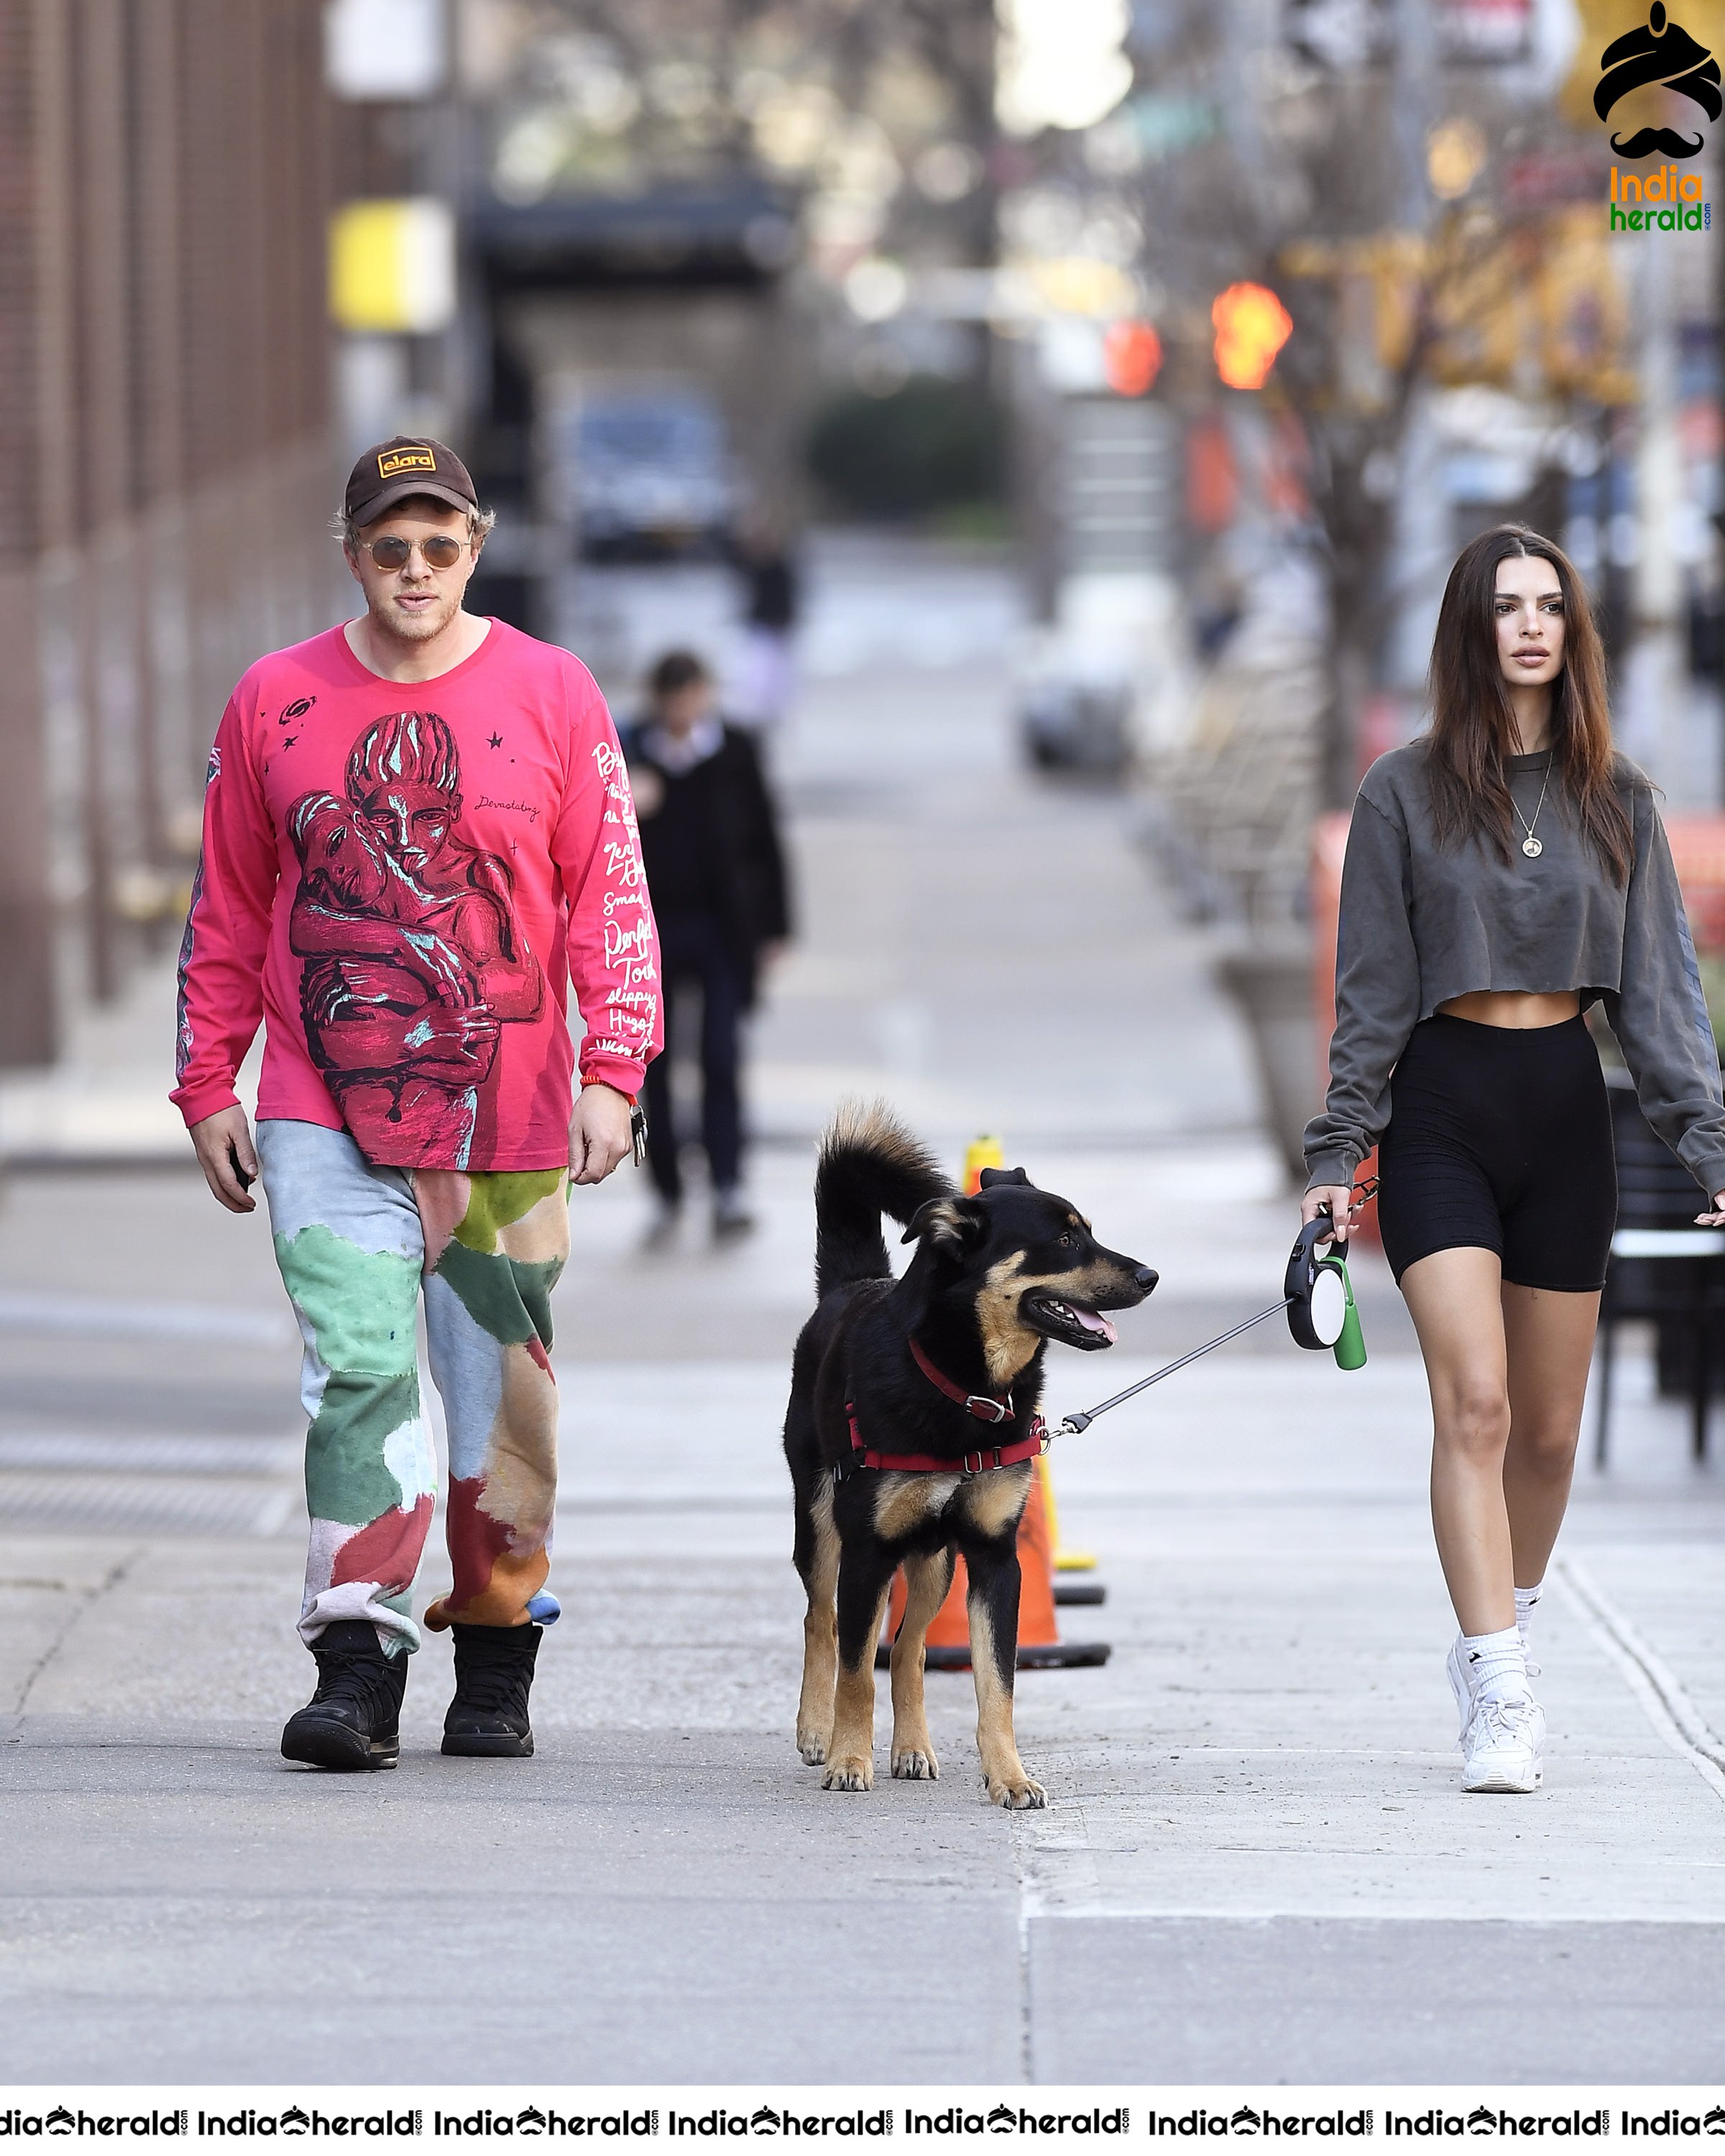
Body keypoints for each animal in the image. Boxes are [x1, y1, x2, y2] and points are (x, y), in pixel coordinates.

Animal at [789, 1112, 1156, 1802]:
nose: (1150, 1277)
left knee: (910, 1648)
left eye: (1088, 1231)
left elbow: (997, 1685)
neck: (966, 1387)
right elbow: (857, 1673)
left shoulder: (993, 1558)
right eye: (1065, 1239)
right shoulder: (869, 1552)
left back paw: (912, 1748)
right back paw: (818, 1731)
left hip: (935, 1561)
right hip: (821, 1525)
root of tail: (850, 1286)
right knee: (822, 1623)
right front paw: (849, 1760)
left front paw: (1009, 1777)